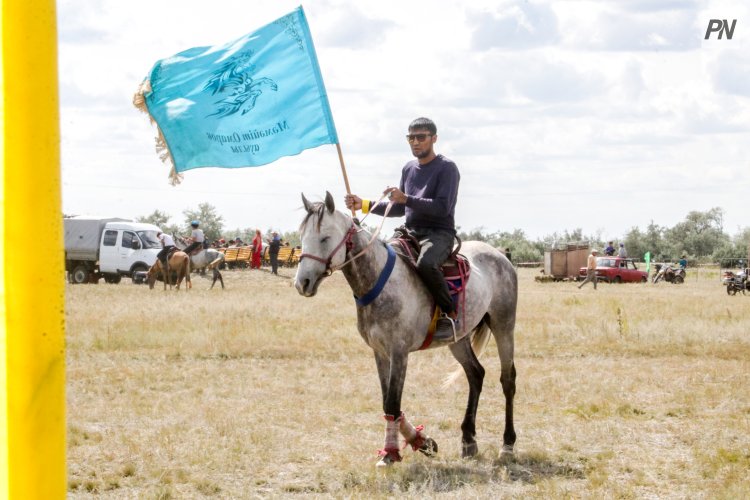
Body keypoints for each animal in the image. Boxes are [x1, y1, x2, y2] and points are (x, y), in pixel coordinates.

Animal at [294, 193, 516, 466]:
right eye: (302, 236)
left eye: (325, 238)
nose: (302, 282)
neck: (378, 280)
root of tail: (500, 255)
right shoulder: (380, 352)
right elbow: (388, 402)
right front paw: (422, 441)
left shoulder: (399, 352)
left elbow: (392, 402)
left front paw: (390, 453)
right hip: (459, 339)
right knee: (476, 374)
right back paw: (468, 440)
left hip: (504, 324)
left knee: (507, 379)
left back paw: (507, 444)